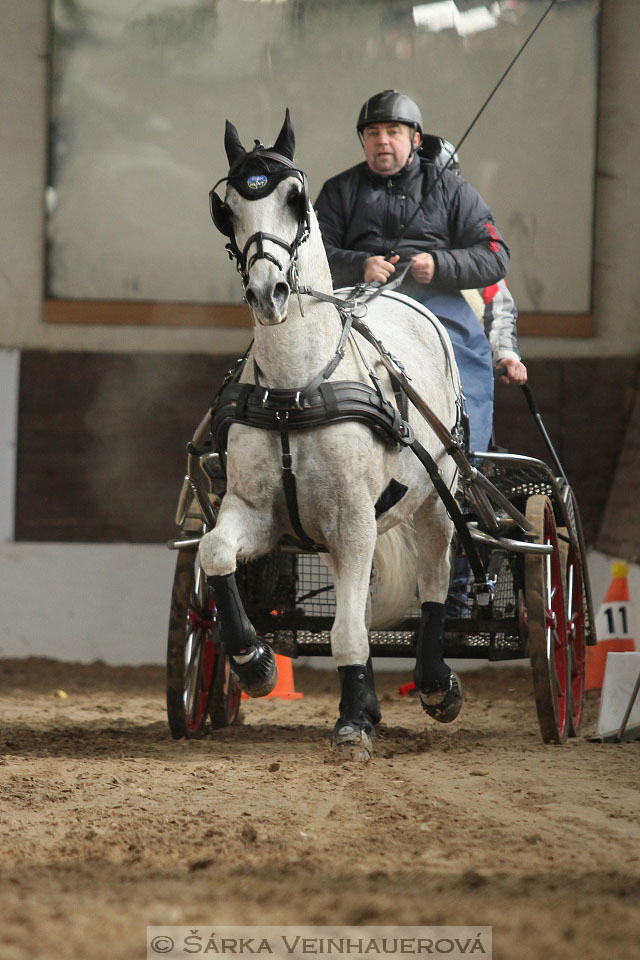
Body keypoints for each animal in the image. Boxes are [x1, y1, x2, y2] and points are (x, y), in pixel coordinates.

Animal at [198, 114, 462, 756]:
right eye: (227, 209)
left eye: (296, 199)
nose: (267, 293)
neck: (296, 389)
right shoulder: (257, 511)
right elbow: (214, 552)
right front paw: (253, 662)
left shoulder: (351, 518)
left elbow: (345, 632)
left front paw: (352, 721)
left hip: (434, 498)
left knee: (434, 578)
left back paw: (435, 683)